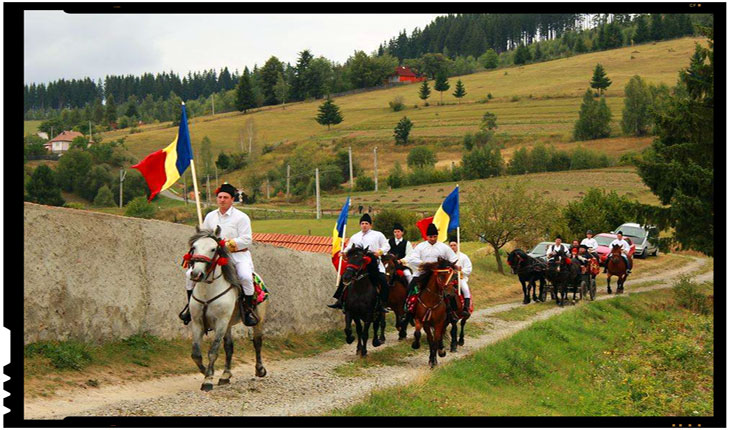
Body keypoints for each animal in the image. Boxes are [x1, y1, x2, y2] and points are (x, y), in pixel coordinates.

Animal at [188, 227, 268, 392]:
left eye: (213, 249)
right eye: (194, 247)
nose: (196, 274)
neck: (208, 290)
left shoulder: (221, 322)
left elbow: (213, 351)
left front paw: (208, 380)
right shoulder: (197, 323)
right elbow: (196, 354)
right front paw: (206, 372)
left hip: (258, 320)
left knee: (257, 342)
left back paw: (260, 369)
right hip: (229, 324)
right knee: (229, 347)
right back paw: (225, 375)